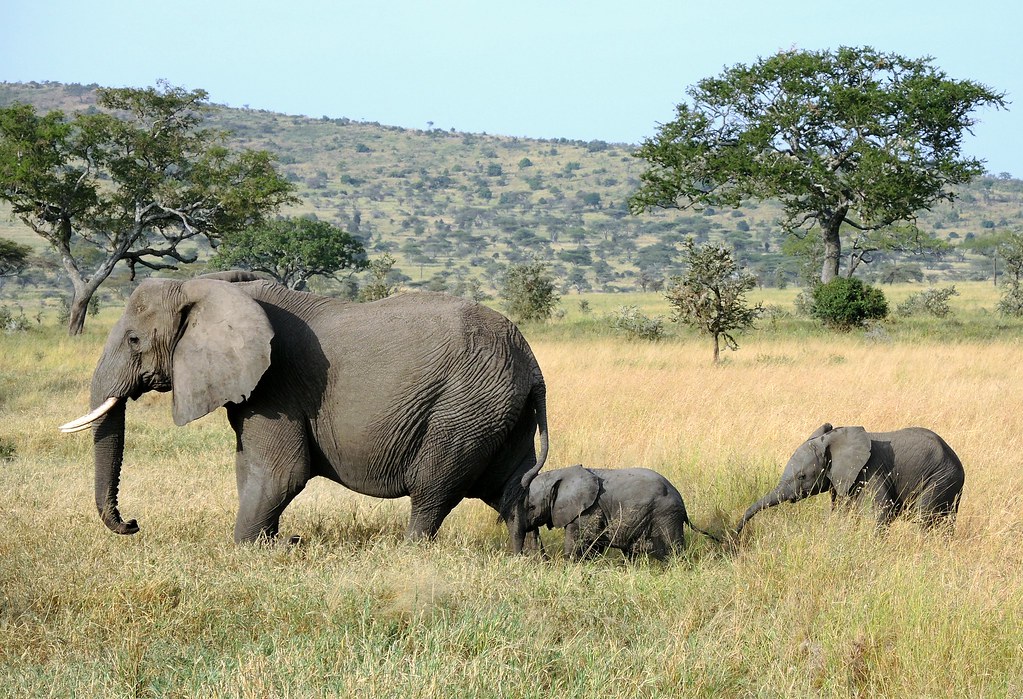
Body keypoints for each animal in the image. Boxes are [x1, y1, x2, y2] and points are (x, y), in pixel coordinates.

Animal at [59, 270, 548, 548]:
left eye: (134, 340)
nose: (133, 524)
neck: (206, 287)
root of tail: (529, 359)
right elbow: (250, 469)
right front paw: (276, 544)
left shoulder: (277, 384)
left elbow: (282, 472)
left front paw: (258, 549)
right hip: (498, 406)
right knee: (508, 485)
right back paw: (524, 557)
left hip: (464, 405)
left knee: (433, 487)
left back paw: (410, 553)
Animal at [523, 464, 716, 564]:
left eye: (531, 507)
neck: (561, 473)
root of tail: (680, 499)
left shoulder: (588, 511)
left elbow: (579, 542)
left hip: (666, 515)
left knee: (673, 549)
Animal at [740, 421, 961, 536]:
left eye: (802, 476)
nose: (734, 537)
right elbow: (842, 512)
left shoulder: (871, 471)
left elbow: (883, 511)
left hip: (940, 479)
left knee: (924, 519)